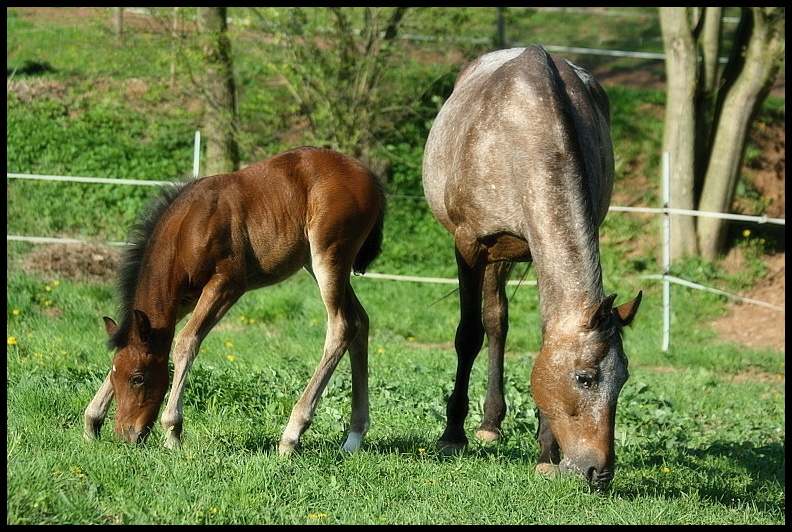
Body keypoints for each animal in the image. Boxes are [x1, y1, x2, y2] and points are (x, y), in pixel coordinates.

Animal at [83, 145, 386, 454]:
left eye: (138, 378)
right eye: (116, 376)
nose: (126, 435)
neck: (187, 228)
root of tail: (368, 175)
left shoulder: (227, 284)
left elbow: (186, 342)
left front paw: (172, 432)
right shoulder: (185, 298)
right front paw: (92, 421)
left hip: (329, 256)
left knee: (342, 327)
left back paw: (291, 435)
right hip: (315, 263)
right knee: (361, 322)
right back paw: (354, 437)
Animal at [424, 45, 640, 490]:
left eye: (624, 378)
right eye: (585, 377)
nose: (599, 473)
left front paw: (546, 453)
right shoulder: (469, 244)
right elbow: (468, 335)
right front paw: (452, 435)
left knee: (498, 321)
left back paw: (492, 421)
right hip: (493, 254)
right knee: (492, 322)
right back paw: (483, 426)